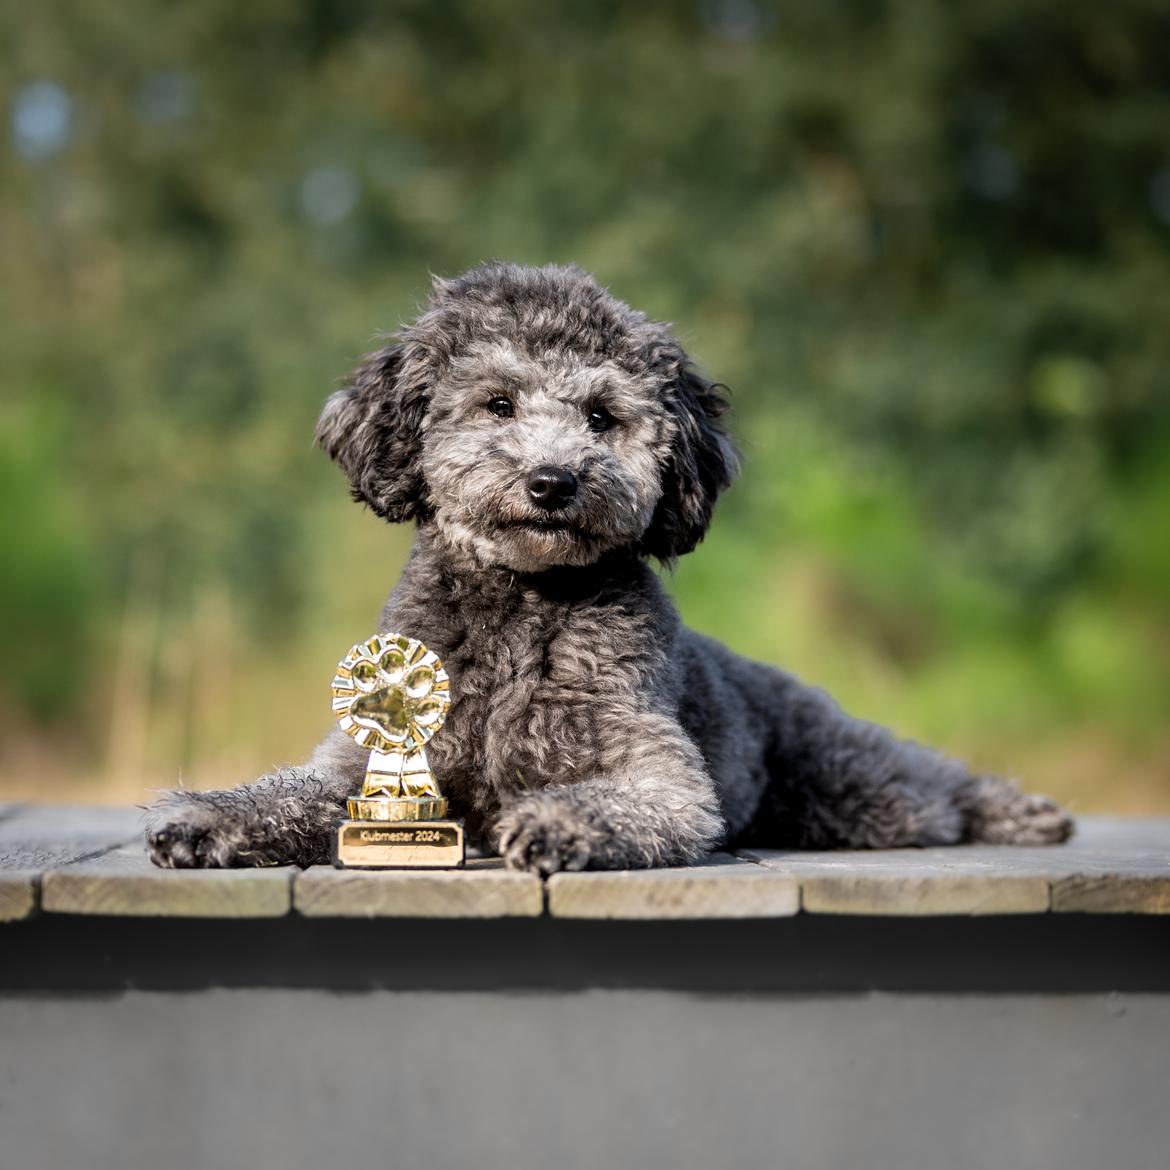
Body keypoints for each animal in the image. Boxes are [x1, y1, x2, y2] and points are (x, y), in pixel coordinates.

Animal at [150, 260, 1071, 875]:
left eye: (601, 416)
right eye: (498, 403)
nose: (553, 482)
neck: (522, 608)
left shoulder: (657, 769)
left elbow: (622, 800)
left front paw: (555, 826)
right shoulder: (366, 765)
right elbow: (284, 793)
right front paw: (202, 818)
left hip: (856, 782)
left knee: (937, 785)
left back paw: (1022, 812)